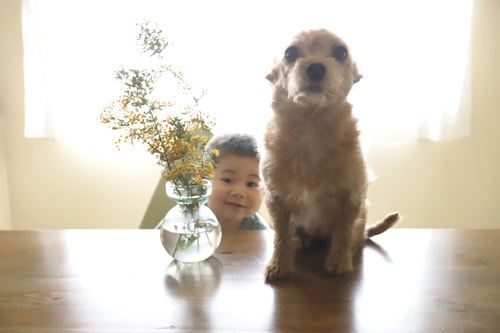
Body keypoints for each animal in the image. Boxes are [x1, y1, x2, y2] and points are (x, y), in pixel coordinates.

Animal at [262, 30, 398, 280]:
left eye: (341, 53)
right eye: (290, 53)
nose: (316, 67)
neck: (311, 127)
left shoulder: (352, 198)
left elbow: (343, 231)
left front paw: (338, 261)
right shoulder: (276, 201)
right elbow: (281, 236)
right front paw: (278, 265)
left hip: (361, 217)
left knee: (355, 236)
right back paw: (301, 240)